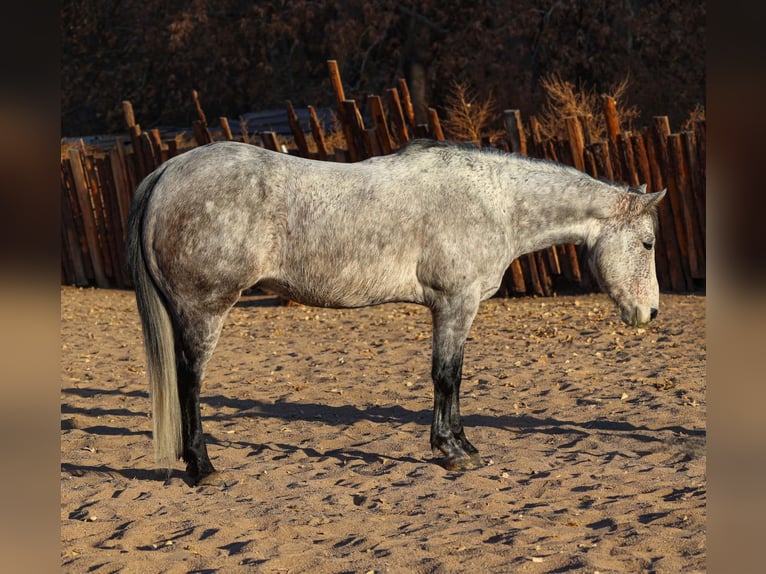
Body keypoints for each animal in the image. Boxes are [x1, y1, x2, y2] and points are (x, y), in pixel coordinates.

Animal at [127, 139, 665, 485]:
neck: (493, 202)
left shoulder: (457, 309)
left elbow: (455, 377)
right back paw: (203, 468)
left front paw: (463, 444)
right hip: (204, 312)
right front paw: (451, 452)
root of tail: (167, 173)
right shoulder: (454, 303)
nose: (651, 313)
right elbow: (446, 376)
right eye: (647, 242)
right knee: (189, 382)